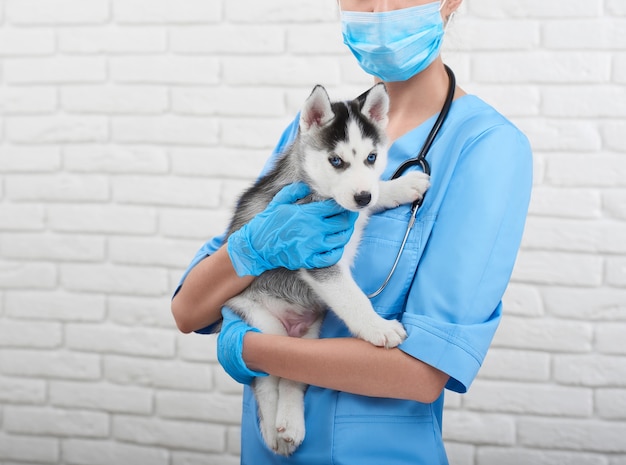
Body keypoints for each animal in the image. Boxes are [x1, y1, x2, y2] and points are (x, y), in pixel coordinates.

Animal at [223, 84, 428, 456]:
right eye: (336, 161)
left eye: (371, 158)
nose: (362, 197)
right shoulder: (316, 256)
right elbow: (353, 298)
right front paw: (379, 327)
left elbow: (377, 191)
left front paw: (401, 186)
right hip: (259, 323)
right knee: (266, 377)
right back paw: (274, 429)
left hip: (310, 335)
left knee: (293, 373)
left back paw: (291, 423)